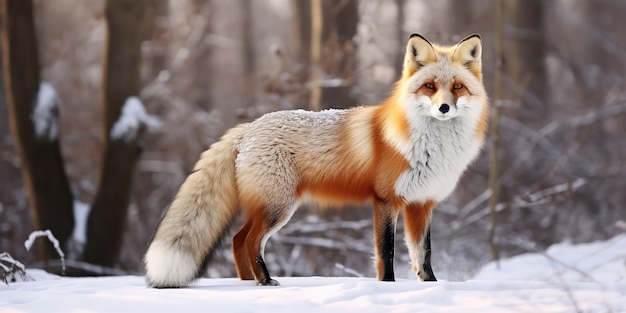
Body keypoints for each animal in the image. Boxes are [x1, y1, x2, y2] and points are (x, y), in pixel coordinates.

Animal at [145, 33, 488, 286]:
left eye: (457, 87)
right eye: (429, 86)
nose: (444, 108)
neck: (427, 146)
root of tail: (247, 130)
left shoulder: (422, 203)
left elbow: (423, 255)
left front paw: (431, 287)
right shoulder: (386, 200)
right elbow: (386, 253)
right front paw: (387, 288)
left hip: (270, 207)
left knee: (237, 240)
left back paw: (248, 283)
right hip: (278, 208)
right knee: (250, 241)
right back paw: (265, 282)